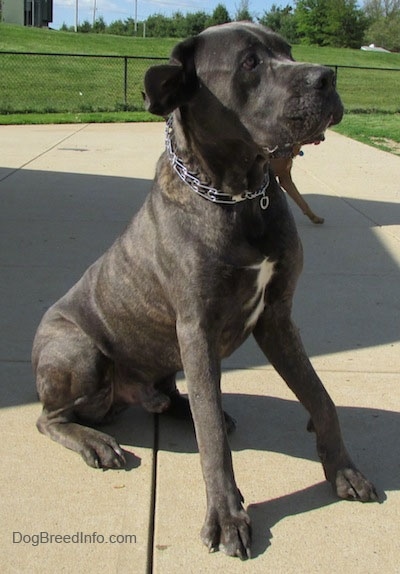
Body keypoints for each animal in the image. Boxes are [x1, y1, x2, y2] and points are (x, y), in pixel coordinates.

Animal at [32, 22, 378, 564]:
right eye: (250, 62)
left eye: (288, 50)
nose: (326, 76)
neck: (240, 195)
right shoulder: (197, 328)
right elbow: (211, 437)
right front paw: (227, 516)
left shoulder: (277, 316)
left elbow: (320, 397)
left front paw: (343, 469)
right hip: (78, 350)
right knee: (49, 418)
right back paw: (95, 442)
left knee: (183, 396)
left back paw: (172, 406)